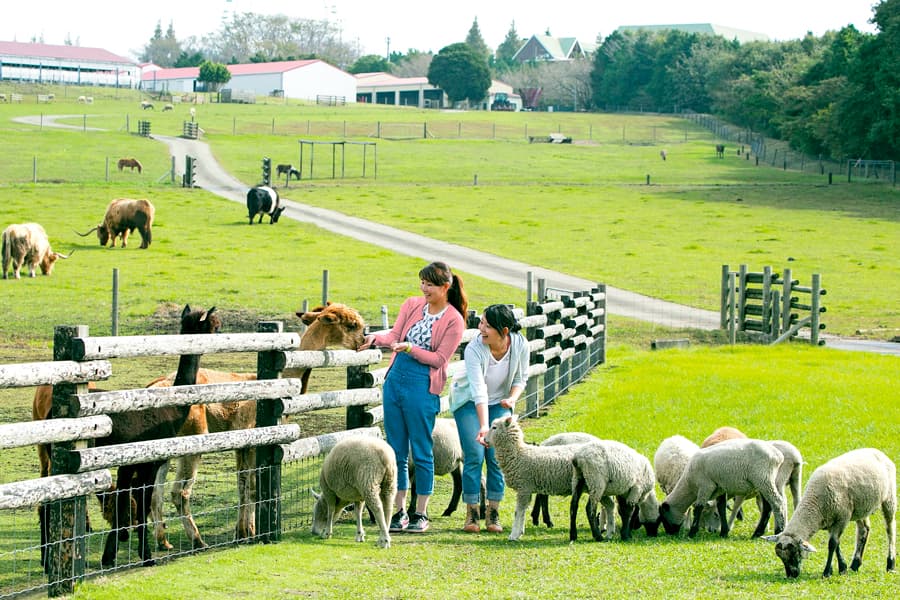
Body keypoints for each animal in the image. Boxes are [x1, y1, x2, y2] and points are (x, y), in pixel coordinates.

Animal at [652, 436, 788, 540]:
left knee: (777, 502)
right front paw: (724, 532)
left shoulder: (705, 486)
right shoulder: (720, 488)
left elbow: (698, 508)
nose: (670, 533)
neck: (689, 485)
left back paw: (778, 530)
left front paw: (692, 533)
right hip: (761, 483)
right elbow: (721, 508)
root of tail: (778, 455)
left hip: (763, 479)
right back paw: (757, 533)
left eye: (663, 517)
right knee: (767, 506)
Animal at [764, 448, 896, 580]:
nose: (792, 575)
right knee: (864, 530)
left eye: (795, 553)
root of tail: (876, 451)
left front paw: (827, 572)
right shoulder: (829, 520)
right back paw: (855, 564)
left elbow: (832, 544)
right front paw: (842, 568)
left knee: (890, 529)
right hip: (860, 507)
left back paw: (890, 564)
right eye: (780, 557)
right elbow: (837, 544)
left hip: (889, 498)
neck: (814, 504)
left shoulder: (842, 518)